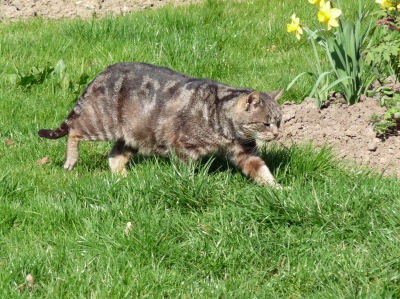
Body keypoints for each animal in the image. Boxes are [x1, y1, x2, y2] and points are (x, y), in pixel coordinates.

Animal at [36, 63, 282, 189]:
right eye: (266, 123)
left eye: (279, 121)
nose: (277, 134)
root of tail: (102, 72)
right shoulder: (183, 147)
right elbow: (185, 173)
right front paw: (188, 183)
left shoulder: (246, 152)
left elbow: (263, 172)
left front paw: (279, 190)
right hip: (101, 124)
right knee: (74, 130)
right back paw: (70, 160)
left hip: (134, 135)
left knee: (114, 157)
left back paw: (123, 178)